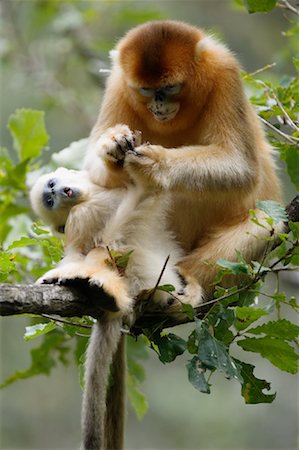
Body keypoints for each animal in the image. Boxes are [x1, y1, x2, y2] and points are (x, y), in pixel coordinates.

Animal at [83, 20, 284, 450]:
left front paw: (156, 163)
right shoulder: (119, 86)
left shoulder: (225, 72)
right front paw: (113, 146)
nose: (158, 107)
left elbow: (241, 167)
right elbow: (99, 175)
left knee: (270, 222)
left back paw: (185, 285)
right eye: (146, 92)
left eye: (169, 89)